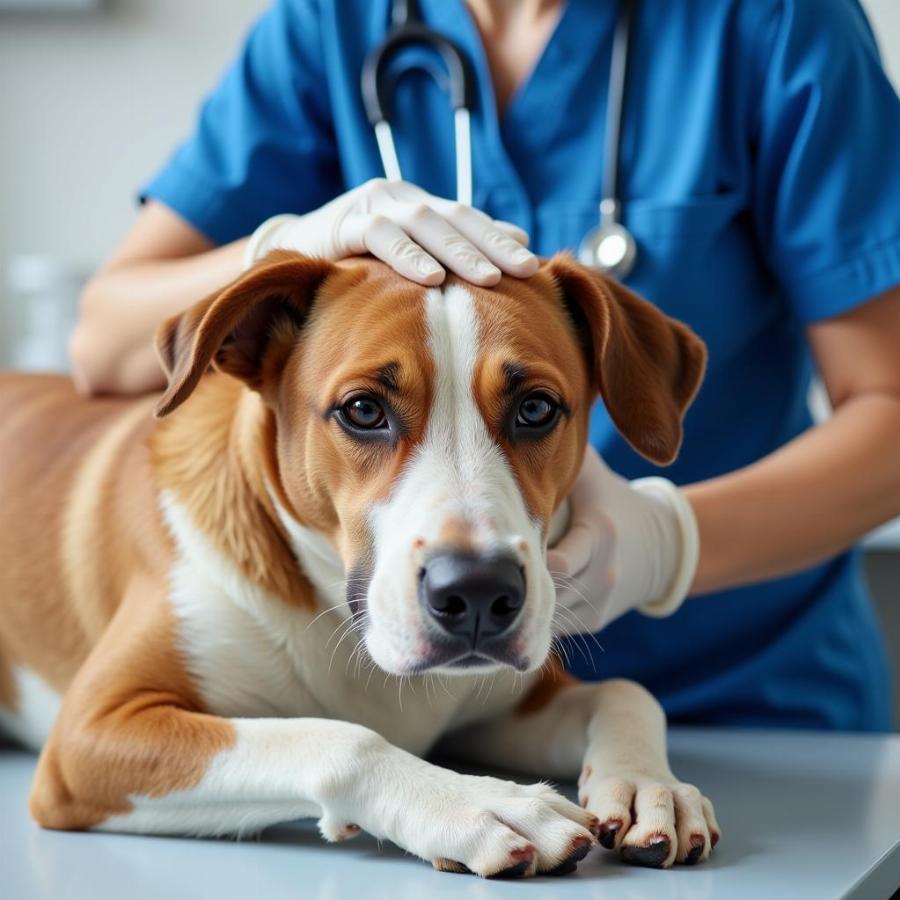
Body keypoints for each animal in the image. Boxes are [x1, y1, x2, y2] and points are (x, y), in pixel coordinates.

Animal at [0, 251, 716, 880]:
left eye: (536, 408)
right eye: (364, 410)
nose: (477, 594)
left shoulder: (504, 705)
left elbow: (626, 692)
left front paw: (650, 784)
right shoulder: (90, 735)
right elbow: (343, 738)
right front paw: (481, 804)